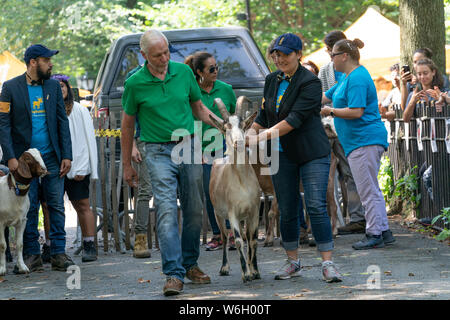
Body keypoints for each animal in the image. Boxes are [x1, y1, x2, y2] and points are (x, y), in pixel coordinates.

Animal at [210, 97, 262, 282]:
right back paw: (224, 268)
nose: (238, 143)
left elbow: (252, 240)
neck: (242, 182)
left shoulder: (254, 210)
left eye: (243, 126)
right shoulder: (232, 212)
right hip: (218, 214)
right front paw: (245, 274)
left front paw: (255, 271)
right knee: (225, 238)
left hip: (242, 217)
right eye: (226, 128)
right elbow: (238, 241)